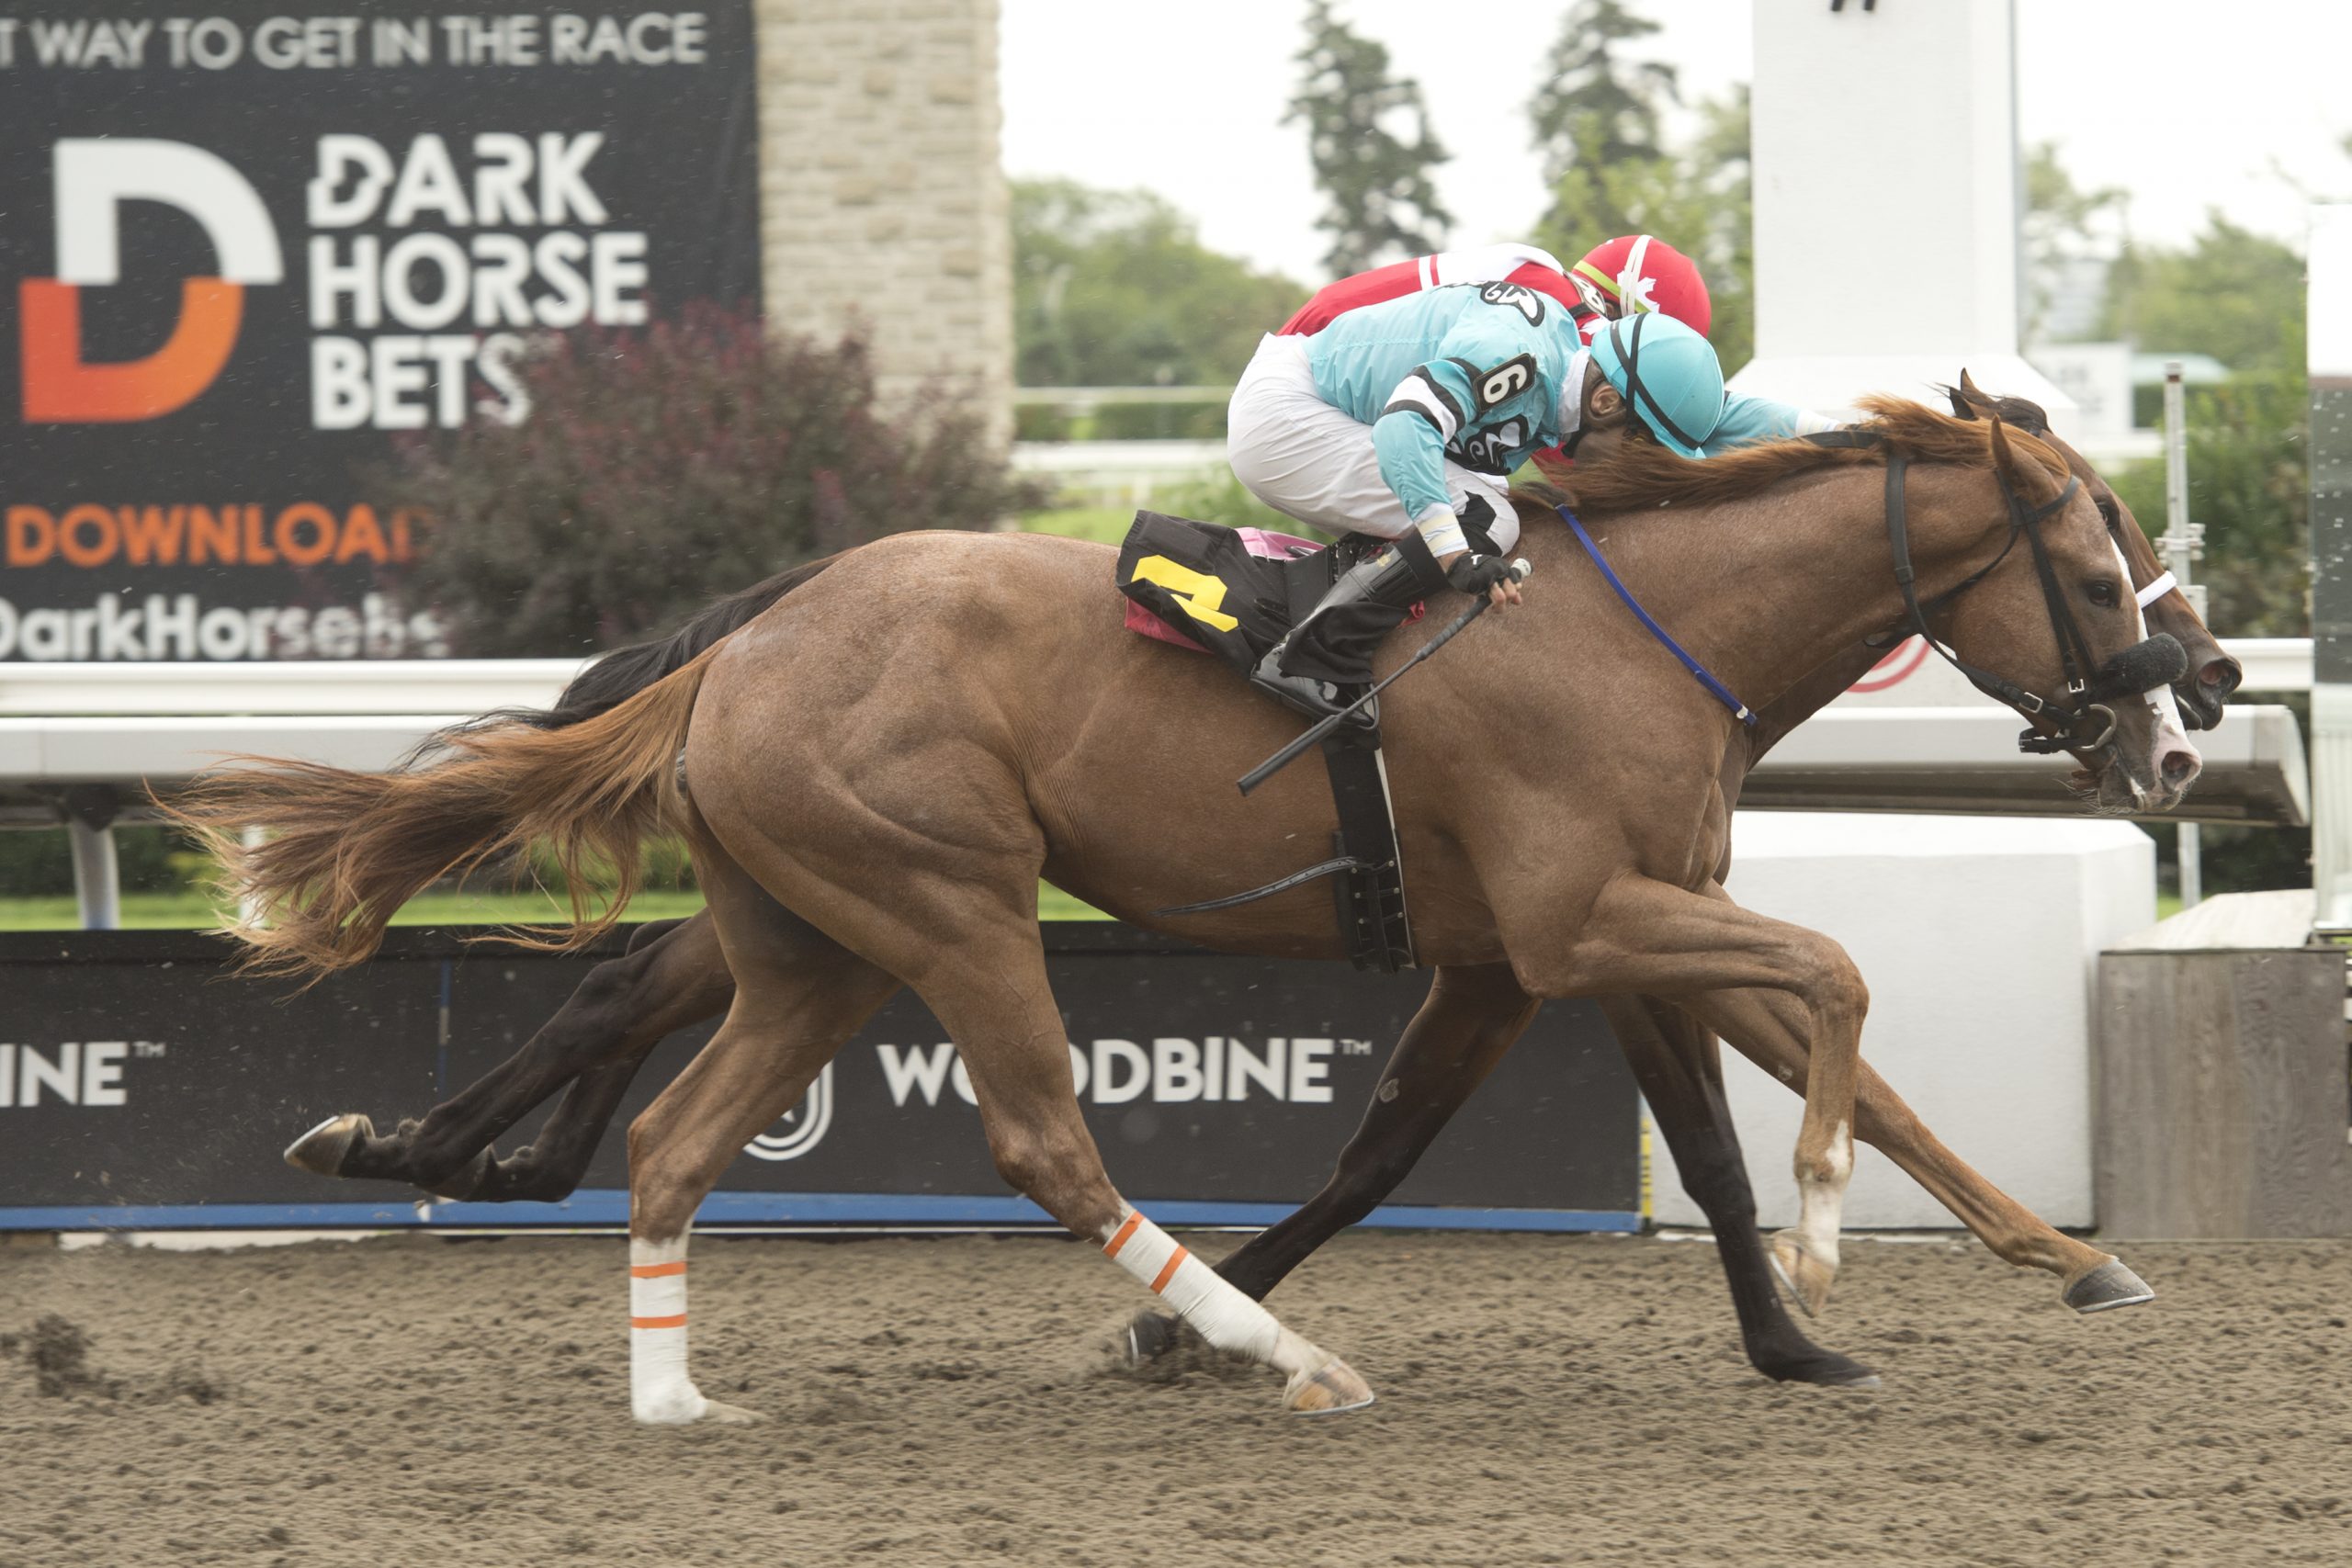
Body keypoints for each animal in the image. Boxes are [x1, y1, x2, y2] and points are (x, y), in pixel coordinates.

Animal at [176, 398, 2203, 1423]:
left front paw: (2008, 1268)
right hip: (946, 904)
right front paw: (1824, 1251)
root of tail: (741, 646)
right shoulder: (1576, 921)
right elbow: (1833, 992)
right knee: (1033, 1138)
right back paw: (1271, 1351)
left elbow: (1614, 1126)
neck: (1645, 630)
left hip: (815, 932)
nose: (2178, 733)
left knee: (660, 1072)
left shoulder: (1552, 943)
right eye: (2105, 570)